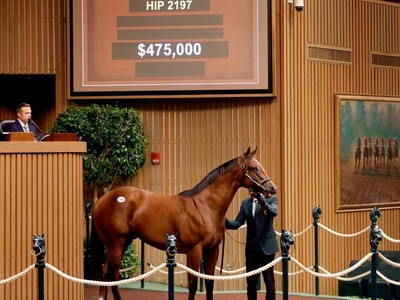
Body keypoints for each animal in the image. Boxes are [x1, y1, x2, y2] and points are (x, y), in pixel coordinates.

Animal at [89, 148, 276, 300]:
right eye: (254, 168)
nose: (272, 188)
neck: (205, 206)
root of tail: (101, 200)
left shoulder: (212, 251)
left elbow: (209, 283)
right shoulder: (194, 251)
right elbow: (192, 284)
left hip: (123, 243)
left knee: (106, 273)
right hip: (116, 244)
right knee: (113, 275)